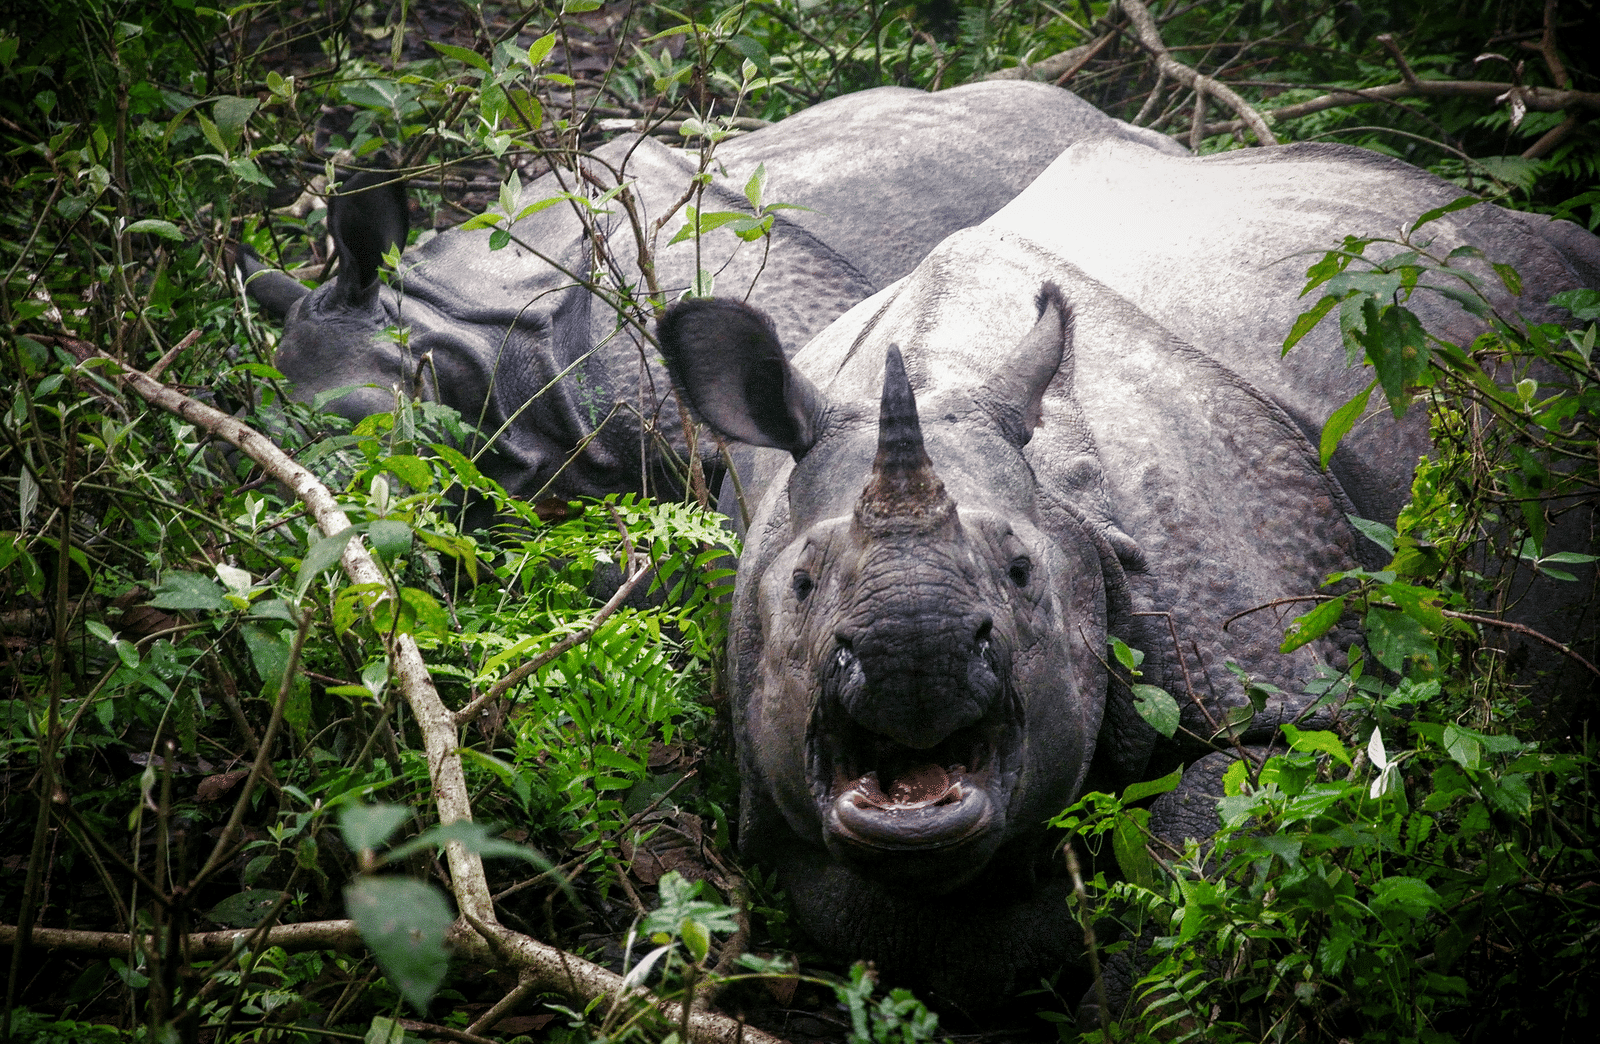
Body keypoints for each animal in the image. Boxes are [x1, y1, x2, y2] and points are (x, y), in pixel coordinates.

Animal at [657, 132, 1598, 1005]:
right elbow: (883, 919)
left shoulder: (1281, 683)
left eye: (1022, 573)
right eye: (802, 585)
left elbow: (1209, 861)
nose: (913, 647)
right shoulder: (777, 815)